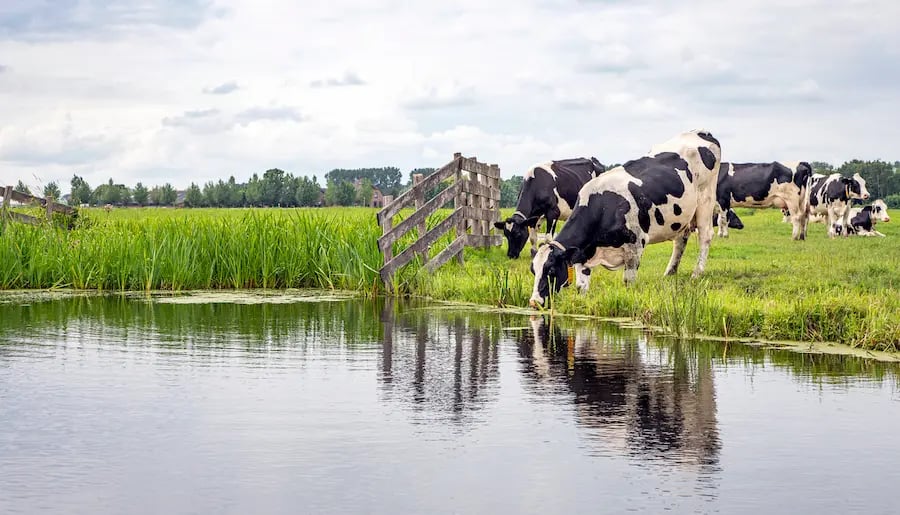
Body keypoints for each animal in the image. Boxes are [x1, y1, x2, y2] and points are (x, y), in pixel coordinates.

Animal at [528, 129, 721, 308]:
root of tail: (700, 132)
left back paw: (697, 273)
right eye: (533, 271)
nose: (534, 302)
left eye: (551, 270)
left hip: (706, 199)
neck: (604, 207)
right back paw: (670, 272)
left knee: (705, 235)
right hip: (682, 215)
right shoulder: (583, 256)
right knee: (680, 240)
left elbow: (629, 282)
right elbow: (581, 287)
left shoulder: (635, 245)